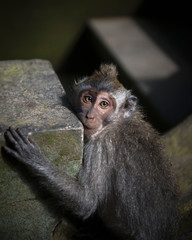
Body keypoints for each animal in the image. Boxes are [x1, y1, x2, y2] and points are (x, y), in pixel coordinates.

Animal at [1, 63, 178, 240]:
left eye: (104, 104)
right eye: (88, 99)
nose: (89, 116)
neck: (115, 123)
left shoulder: (102, 145)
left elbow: (87, 200)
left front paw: (33, 158)